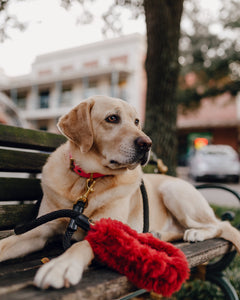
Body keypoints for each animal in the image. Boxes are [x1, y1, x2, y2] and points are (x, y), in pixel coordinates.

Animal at [0, 96, 240, 288]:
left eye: (136, 121)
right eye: (112, 118)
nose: (147, 143)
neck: (88, 180)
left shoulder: (108, 229)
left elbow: (82, 245)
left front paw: (61, 266)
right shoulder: (40, 230)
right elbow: (8, 242)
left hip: (174, 191)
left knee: (221, 225)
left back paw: (196, 233)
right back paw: (156, 235)